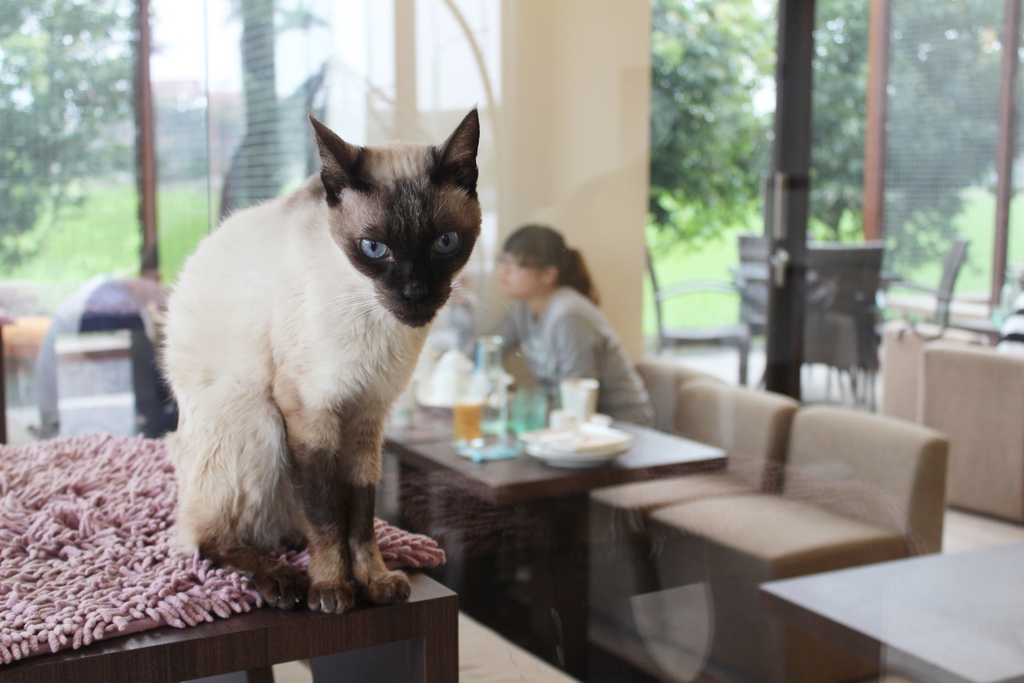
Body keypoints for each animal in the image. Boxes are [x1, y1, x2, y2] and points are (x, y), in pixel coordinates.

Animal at [161, 109, 481, 610]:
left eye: (445, 242)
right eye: (374, 248)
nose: (415, 293)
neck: (373, 318)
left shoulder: (367, 416)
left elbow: (360, 516)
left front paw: (373, 581)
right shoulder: (310, 412)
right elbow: (328, 514)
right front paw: (332, 588)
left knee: (273, 526)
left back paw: (292, 547)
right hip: (256, 415)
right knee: (205, 539)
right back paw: (283, 579)